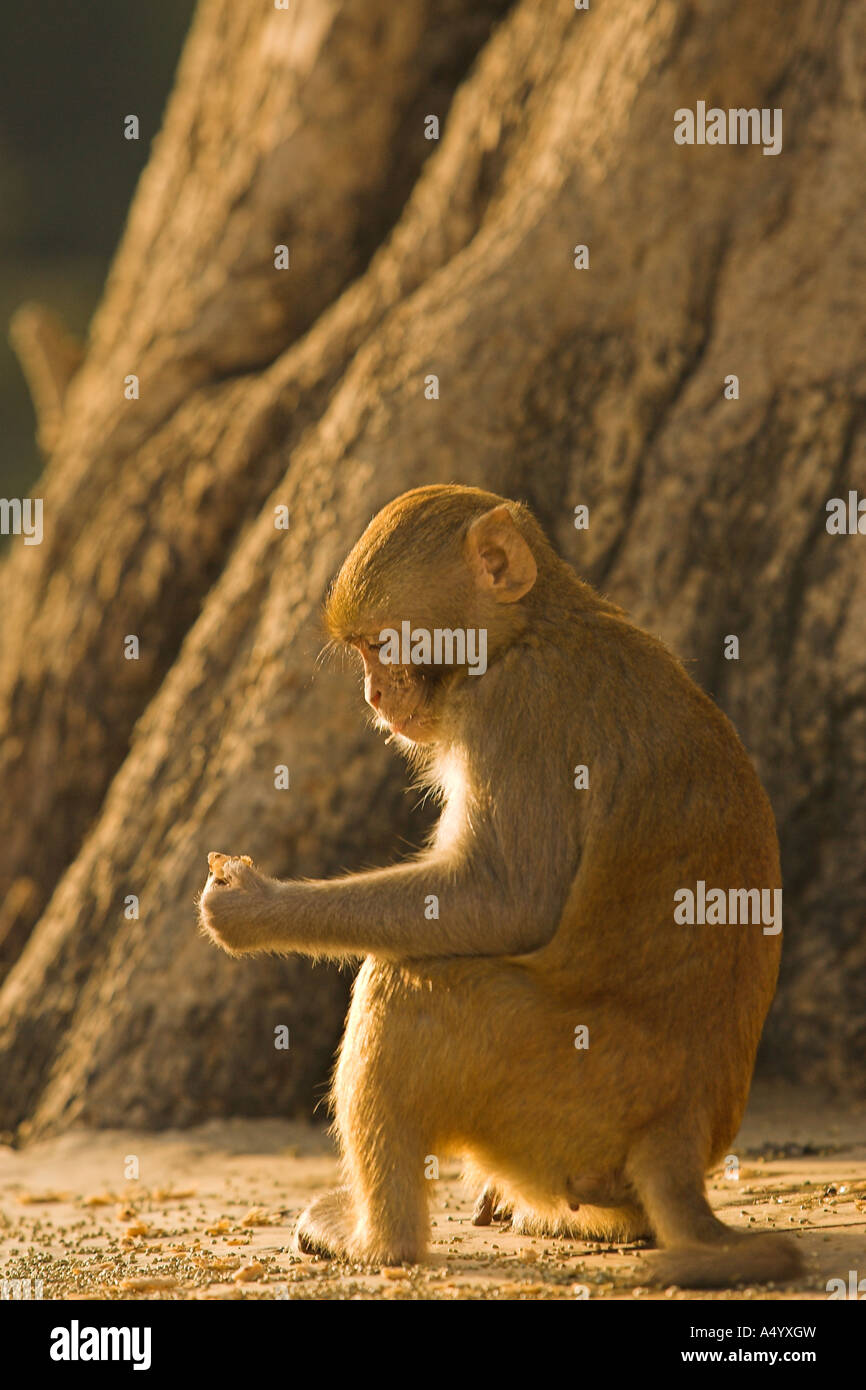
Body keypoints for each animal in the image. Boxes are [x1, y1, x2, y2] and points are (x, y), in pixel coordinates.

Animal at [198, 483, 801, 1288]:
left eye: (383, 645)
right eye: (362, 651)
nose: (374, 696)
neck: (530, 628)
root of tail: (679, 1124)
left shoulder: (518, 705)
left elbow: (506, 899)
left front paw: (254, 908)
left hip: (557, 1083)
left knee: (402, 990)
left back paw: (379, 1242)